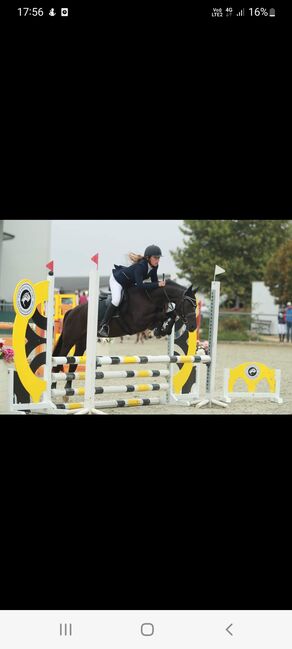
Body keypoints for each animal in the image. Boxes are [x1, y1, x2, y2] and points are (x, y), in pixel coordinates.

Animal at [52, 280, 197, 382]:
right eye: (188, 304)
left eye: (195, 305)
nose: (193, 327)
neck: (149, 297)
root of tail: (71, 311)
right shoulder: (138, 322)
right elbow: (164, 315)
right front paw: (162, 329)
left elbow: (169, 315)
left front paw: (162, 330)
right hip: (69, 340)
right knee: (59, 361)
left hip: (82, 342)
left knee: (72, 364)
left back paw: (66, 394)